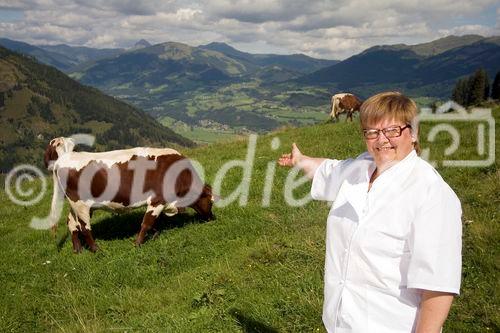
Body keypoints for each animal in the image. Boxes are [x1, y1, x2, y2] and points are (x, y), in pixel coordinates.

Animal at [44, 136, 214, 253]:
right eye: (211, 202)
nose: (212, 218)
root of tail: (64, 158)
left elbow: (153, 222)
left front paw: (154, 235)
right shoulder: (157, 200)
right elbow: (147, 222)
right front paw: (137, 244)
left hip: (76, 204)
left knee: (72, 223)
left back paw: (78, 249)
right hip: (80, 204)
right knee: (85, 227)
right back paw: (96, 250)